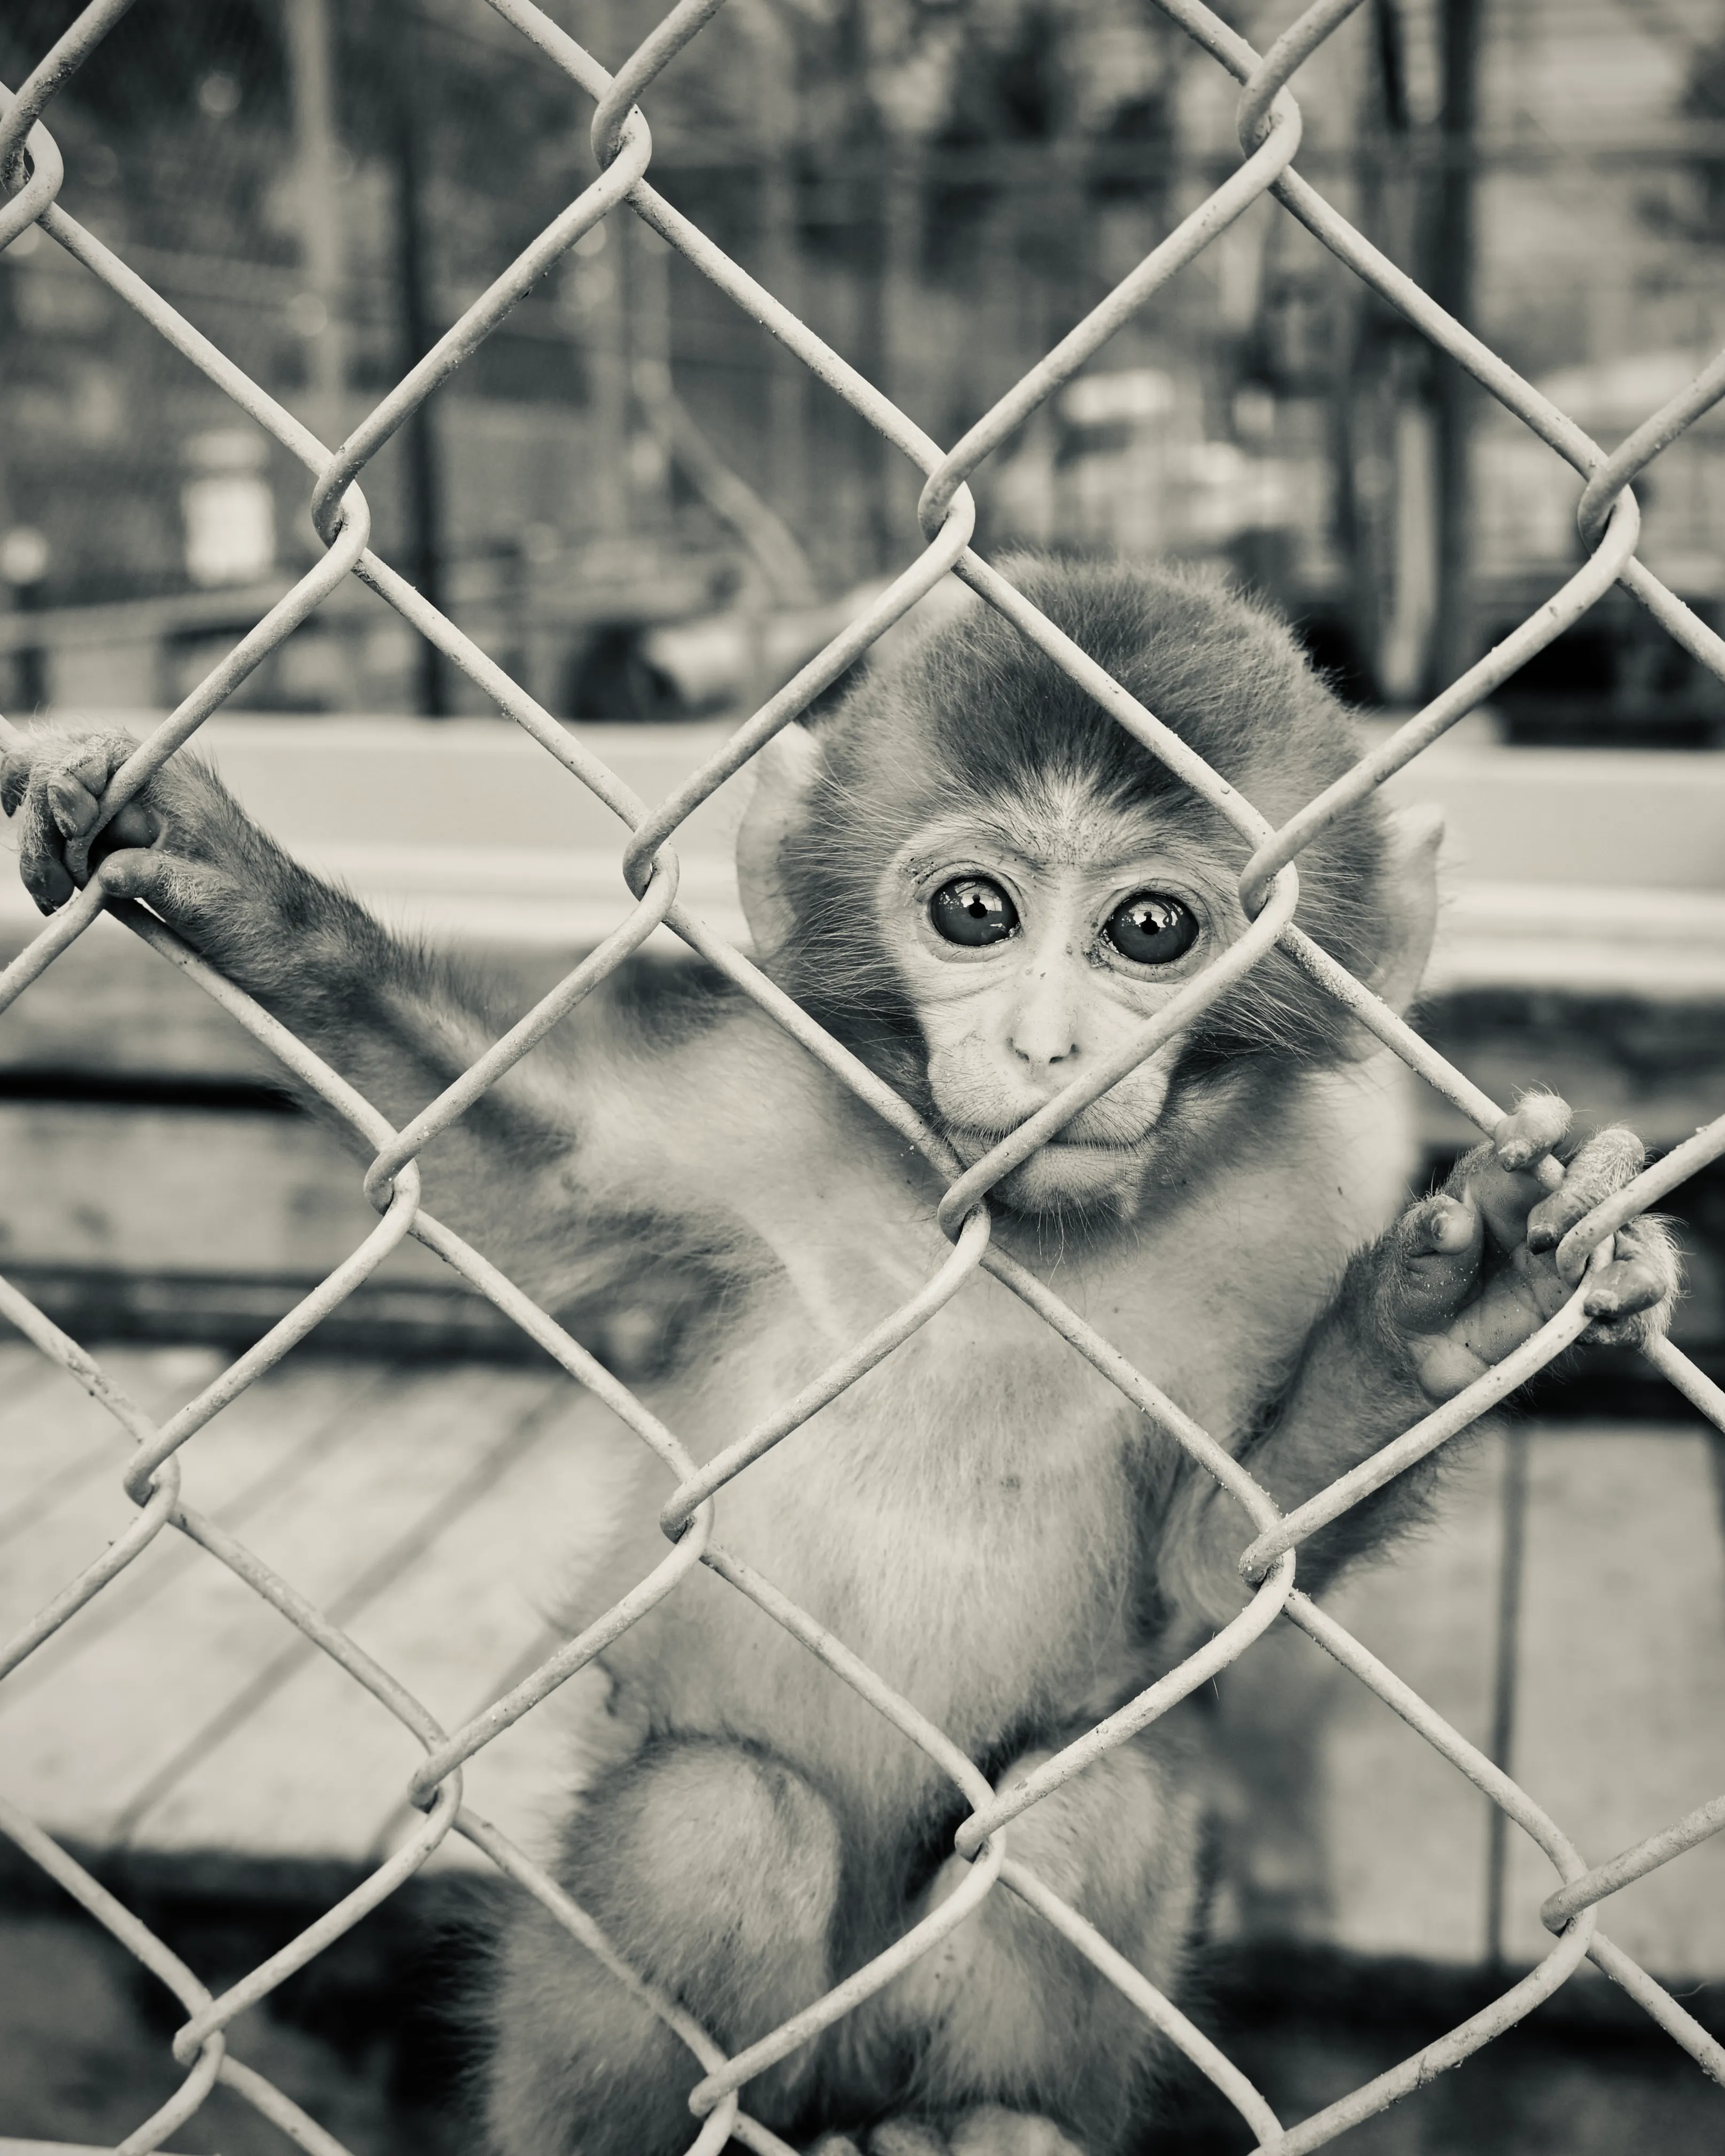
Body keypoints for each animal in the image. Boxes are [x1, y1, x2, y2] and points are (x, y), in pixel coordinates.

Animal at [3, 557, 1677, 2156]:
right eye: (974, 913)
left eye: (1150, 930)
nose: (1051, 1049)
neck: (1010, 1245)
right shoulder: (767, 1105)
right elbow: (528, 1184)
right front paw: (226, 884)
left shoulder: (1292, 1213)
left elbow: (1220, 1559)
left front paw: (1457, 1318)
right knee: (714, 1816)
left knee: (1081, 1813)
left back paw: (985, 2129)